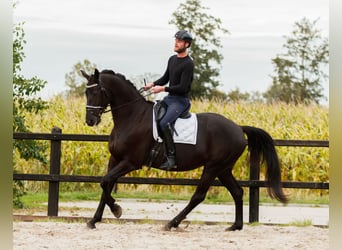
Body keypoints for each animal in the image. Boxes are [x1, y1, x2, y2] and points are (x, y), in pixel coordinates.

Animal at [81, 68, 288, 230]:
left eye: (97, 91)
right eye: (86, 92)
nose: (90, 120)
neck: (132, 116)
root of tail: (238, 128)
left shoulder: (131, 162)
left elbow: (105, 182)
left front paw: (116, 209)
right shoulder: (115, 159)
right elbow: (105, 185)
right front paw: (94, 220)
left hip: (213, 167)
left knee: (199, 196)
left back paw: (172, 223)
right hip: (223, 169)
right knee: (237, 192)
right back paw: (235, 226)